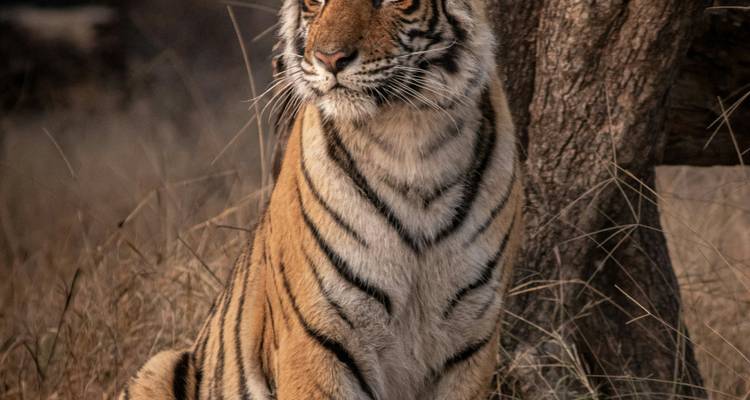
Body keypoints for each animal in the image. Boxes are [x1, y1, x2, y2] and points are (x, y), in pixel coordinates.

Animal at [120, 0, 522, 398]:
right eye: (316, 2)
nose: (329, 59)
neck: (410, 141)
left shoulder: (469, 343)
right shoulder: (317, 339)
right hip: (156, 367)